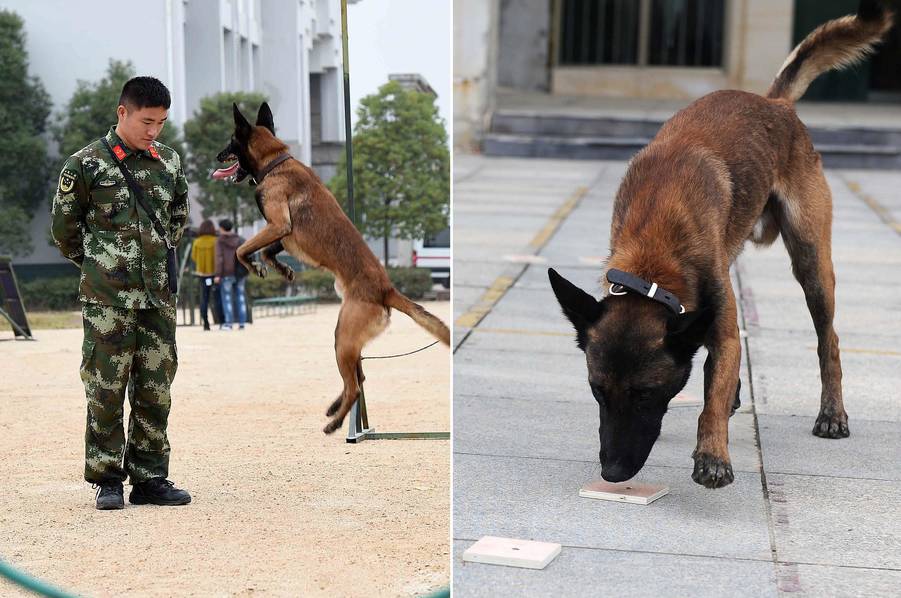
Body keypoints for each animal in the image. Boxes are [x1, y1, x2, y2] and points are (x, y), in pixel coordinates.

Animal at [548, 0, 892, 490]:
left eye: (646, 394)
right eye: (597, 391)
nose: (612, 473)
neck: (653, 260)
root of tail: (774, 102)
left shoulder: (721, 328)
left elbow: (710, 398)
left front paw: (712, 454)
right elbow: (717, 377)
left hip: (811, 263)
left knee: (829, 339)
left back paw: (831, 412)